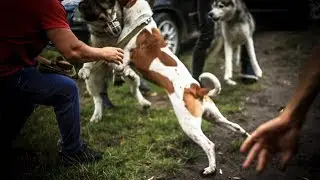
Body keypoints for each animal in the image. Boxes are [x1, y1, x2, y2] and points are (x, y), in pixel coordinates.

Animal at [97, 0, 250, 174]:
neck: (140, 21)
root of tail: (196, 89)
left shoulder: (123, 59)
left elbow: (113, 65)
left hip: (189, 126)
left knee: (209, 144)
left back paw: (210, 168)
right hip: (214, 116)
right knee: (236, 127)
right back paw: (247, 138)